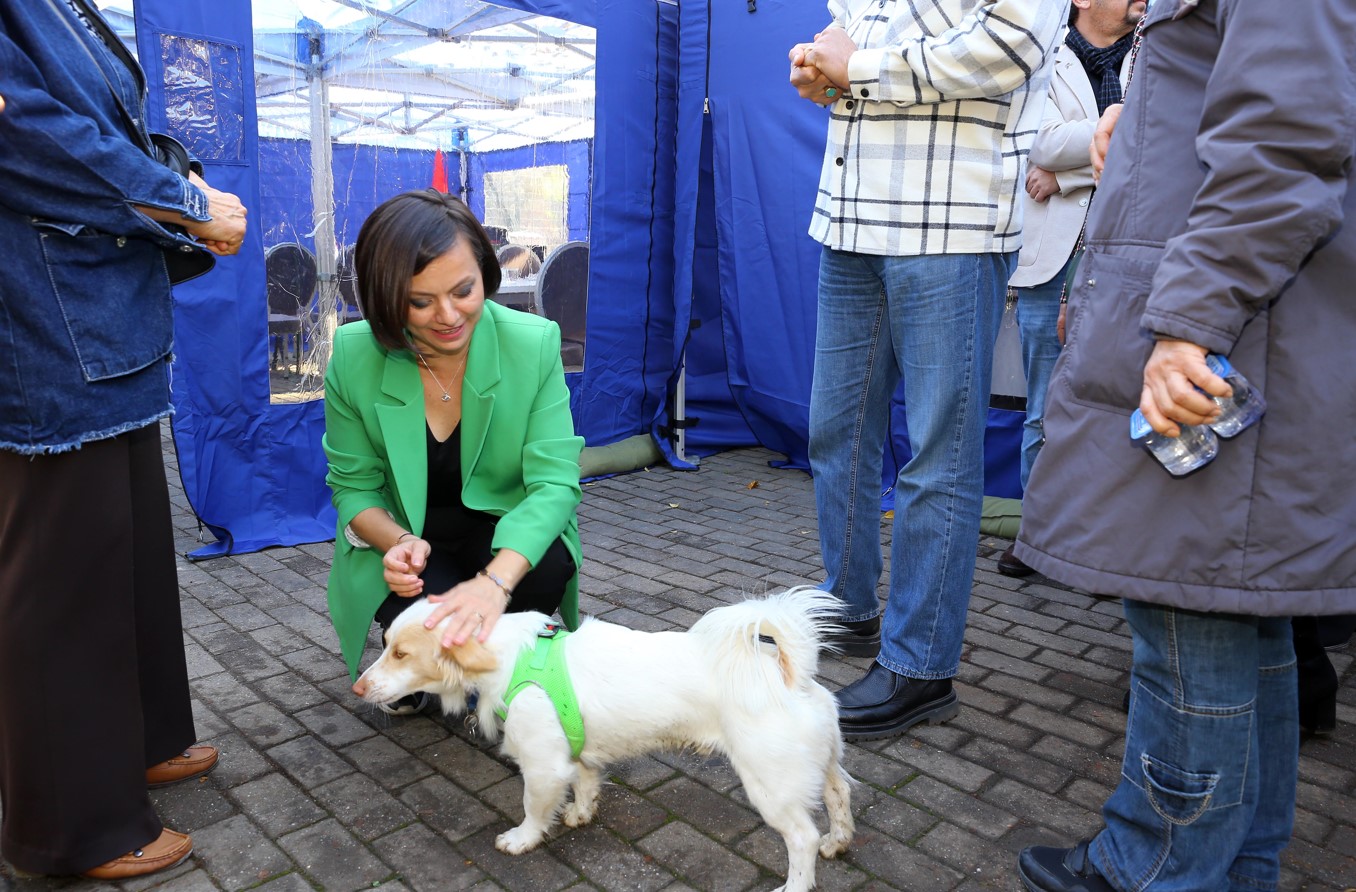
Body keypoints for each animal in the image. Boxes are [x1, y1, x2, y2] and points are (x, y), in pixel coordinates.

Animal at [355, 588, 851, 883]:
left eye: (401, 654)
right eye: (387, 644)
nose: (358, 688)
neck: (514, 659)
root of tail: (790, 672)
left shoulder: (542, 766)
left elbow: (534, 809)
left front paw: (522, 839)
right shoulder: (575, 754)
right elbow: (586, 783)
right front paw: (580, 813)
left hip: (771, 785)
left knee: (802, 839)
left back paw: (796, 882)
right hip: (822, 765)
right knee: (838, 796)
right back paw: (837, 841)